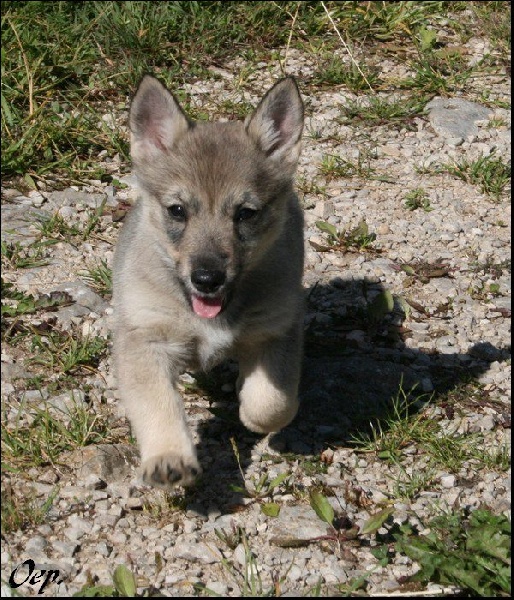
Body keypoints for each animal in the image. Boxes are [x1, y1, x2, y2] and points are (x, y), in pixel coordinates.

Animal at [111, 74, 302, 488]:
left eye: (246, 214)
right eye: (177, 210)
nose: (207, 279)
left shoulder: (276, 329)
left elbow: (272, 401)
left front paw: (251, 413)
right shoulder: (145, 339)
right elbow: (157, 403)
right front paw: (168, 457)